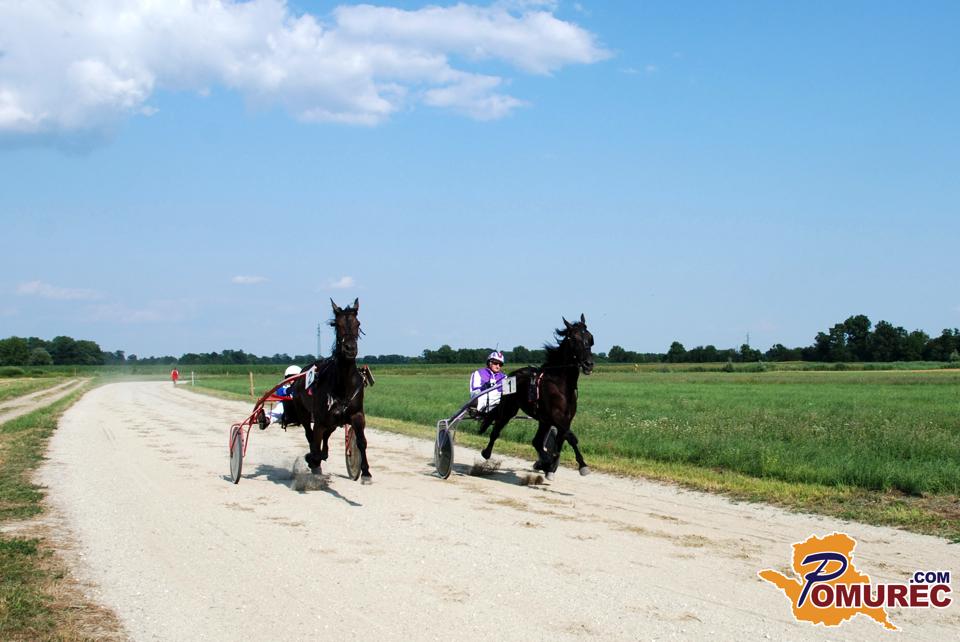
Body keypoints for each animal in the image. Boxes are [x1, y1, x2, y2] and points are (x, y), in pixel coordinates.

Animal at [285, 298, 373, 484]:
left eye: (358, 323)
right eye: (336, 324)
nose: (350, 348)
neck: (343, 384)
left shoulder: (356, 414)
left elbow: (361, 441)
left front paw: (366, 473)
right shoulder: (320, 420)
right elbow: (314, 446)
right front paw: (312, 461)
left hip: (334, 421)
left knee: (324, 438)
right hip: (304, 413)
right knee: (310, 435)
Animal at [477, 314, 595, 480]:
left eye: (590, 338)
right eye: (574, 338)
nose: (588, 364)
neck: (561, 383)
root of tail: (511, 375)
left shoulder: (566, 417)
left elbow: (561, 440)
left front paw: (550, 466)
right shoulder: (557, 416)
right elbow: (571, 437)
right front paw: (582, 466)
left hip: (543, 420)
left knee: (537, 442)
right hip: (509, 409)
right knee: (496, 431)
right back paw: (486, 453)